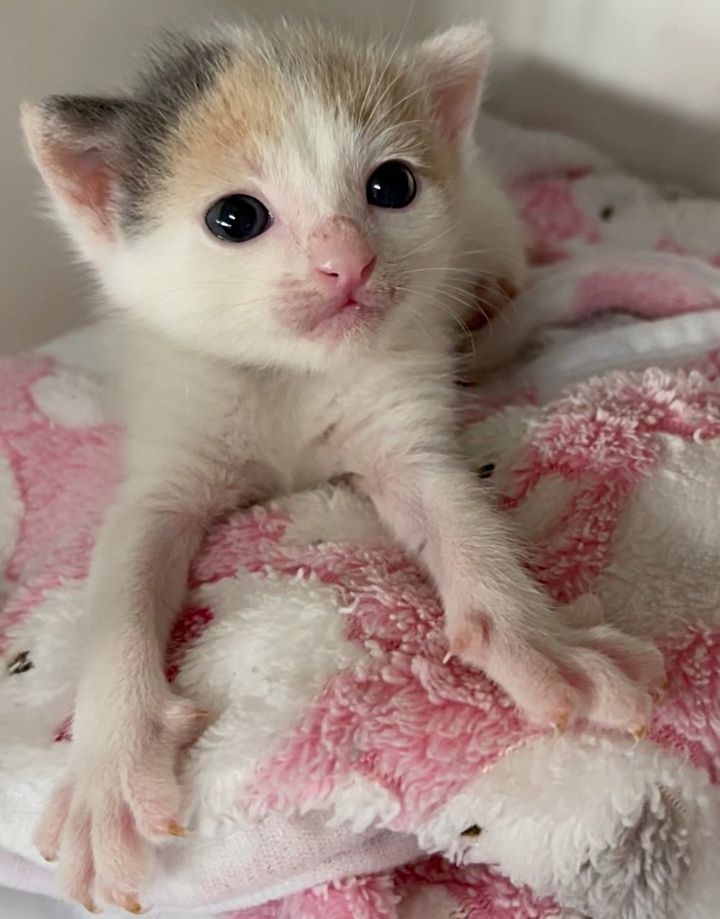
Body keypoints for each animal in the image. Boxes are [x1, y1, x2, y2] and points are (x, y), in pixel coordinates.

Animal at [22, 21, 664, 912]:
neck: (290, 372)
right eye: (234, 216)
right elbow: (121, 590)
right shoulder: (167, 444)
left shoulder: (402, 412)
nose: (348, 261)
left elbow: (456, 515)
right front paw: (107, 773)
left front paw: (543, 642)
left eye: (391, 185)